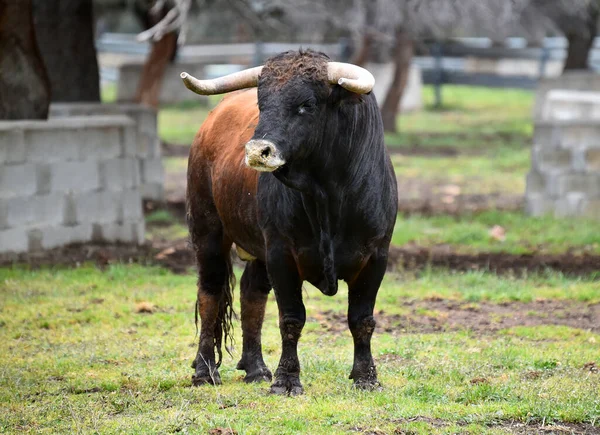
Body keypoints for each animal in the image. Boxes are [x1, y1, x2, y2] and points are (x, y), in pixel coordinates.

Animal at [183, 50, 398, 396]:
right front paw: (286, 380)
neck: (328, 195)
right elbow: (292, 318)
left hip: (257, 248)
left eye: (306, 104)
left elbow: (361, 319)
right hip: (207, 231)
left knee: (252, 292)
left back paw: (256, 368)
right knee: (210, 292)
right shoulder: (281, 254)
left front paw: (366, 376)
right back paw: (205, 371)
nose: (257, 151)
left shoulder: (376, 256)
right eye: (262, 102)